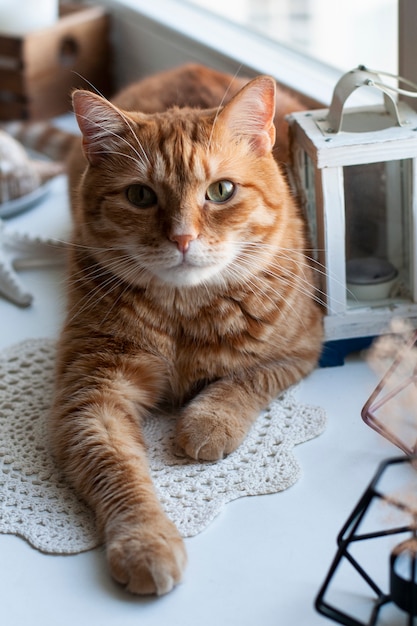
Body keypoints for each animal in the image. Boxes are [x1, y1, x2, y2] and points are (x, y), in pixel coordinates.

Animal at [48, 63, 322, 596]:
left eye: (221, 191)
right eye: (139, 195)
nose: (182, 238)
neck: (184, 315)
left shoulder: (302, 349)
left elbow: (245, 379)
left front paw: (207, 421)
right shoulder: (91, 398)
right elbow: (118, 472)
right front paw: (145, 542)